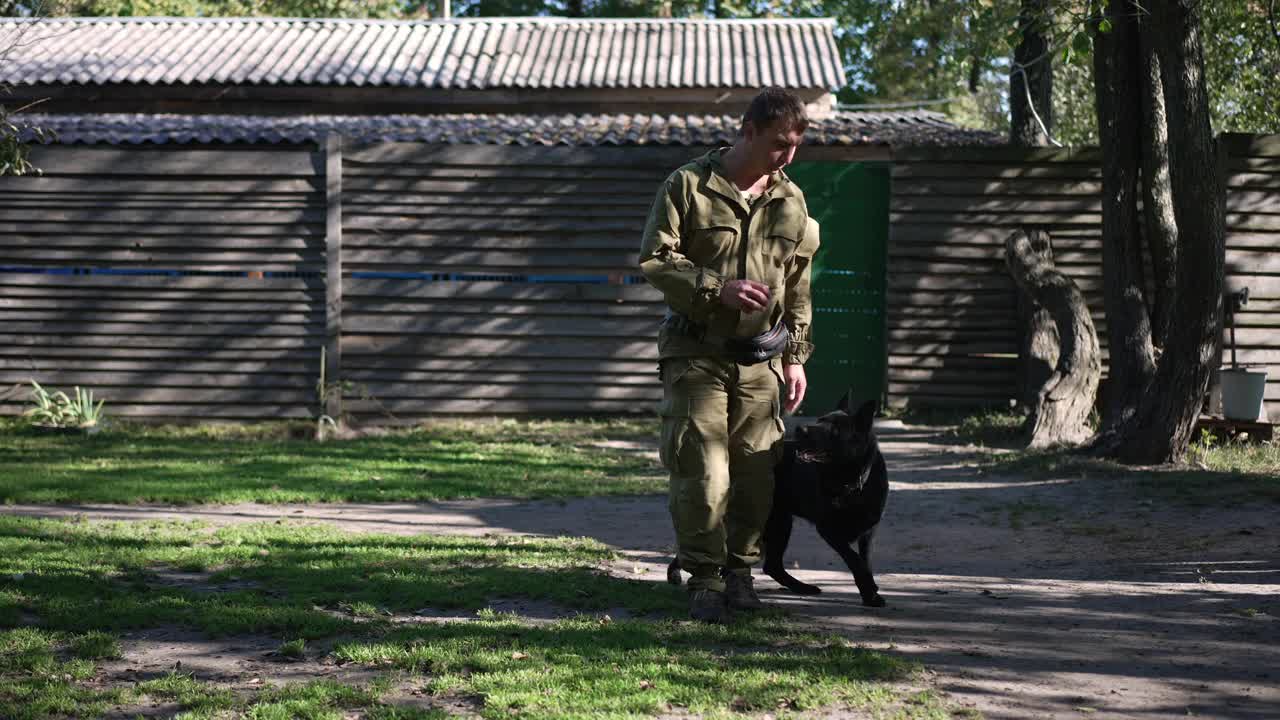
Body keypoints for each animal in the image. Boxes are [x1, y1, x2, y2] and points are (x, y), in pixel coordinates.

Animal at [670, 392, 890, 604]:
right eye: (820, 420)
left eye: (835, 429)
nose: (801, 429)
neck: (851, 483)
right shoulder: (829, 531)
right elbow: (856, 561)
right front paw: (870, 591)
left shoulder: (868, 532)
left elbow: (864, 561)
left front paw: (869, 593)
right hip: (775, 522)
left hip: (774, 522)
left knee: (768, 564)